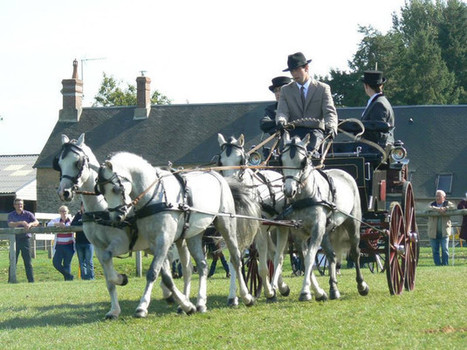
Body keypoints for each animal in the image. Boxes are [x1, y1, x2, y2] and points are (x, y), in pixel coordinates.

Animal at [55, 133, 194, 318]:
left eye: (78, 162)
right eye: (59, 163)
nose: (64, 192)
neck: (100, 209)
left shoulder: (120, 244)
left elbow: (110, 262)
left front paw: (122, 278)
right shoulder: (98, 248)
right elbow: (108, 279)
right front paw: (114, 310)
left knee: (181, 266)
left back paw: (182, 301)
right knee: (167, 265)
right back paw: (170, 295)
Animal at [97, 152, 258, 316]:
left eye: (116, 189)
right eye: (101, 192)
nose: (116, 217)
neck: (155, 195)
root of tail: (218, 176)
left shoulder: (164, 239)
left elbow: (153, 272)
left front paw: (142, 306)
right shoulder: (154, 243)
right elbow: (166, 276)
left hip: (226, 225)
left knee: (235, 259)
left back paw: (245, 297)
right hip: (193, 235)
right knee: (200, 265)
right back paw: (200, 303)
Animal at [218, 134, 290, 300]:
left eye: (241, 160)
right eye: (221, 161)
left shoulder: (259, 232)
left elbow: (262, 264)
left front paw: (269, 291)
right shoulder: (236, 231)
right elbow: (235, 258)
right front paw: (234, 296)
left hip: (280, 227)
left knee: (278, 256)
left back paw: (278, 288)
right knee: (272, 253)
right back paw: (280, 286)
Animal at [280, 131, 372, 300]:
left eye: (303, 161)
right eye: (281, 160)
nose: (289, 191)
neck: (306, 198)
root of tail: (343, 172)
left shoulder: (317, 229)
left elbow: (310, 257)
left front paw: (305, 291)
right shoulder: (298, 233)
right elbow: (305, 259)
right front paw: (316, 291)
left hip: (352, 224)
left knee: (355, 253)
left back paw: (362, 285)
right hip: (326, 231)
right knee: (331, 255)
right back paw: (333, 289)